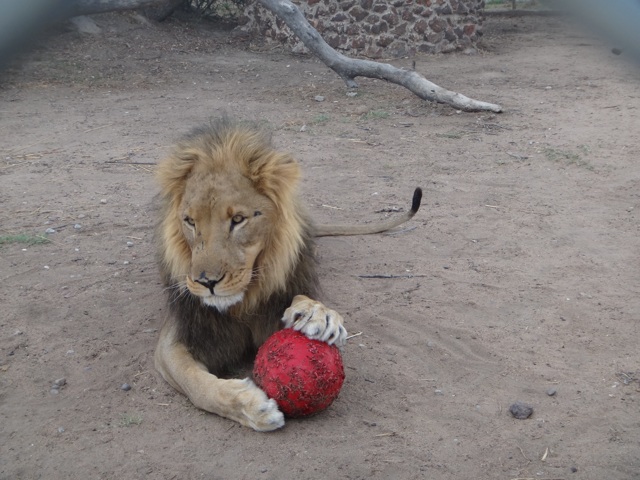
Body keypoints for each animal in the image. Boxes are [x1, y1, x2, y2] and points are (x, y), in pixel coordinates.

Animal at [154, 119, 422, 431]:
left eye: (238, 220)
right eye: (190, 222)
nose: (207, 282)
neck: (243, 302)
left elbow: (302, 298)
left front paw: (317, 314)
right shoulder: (176, 338)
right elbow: (197, 385)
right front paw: (251, 407)